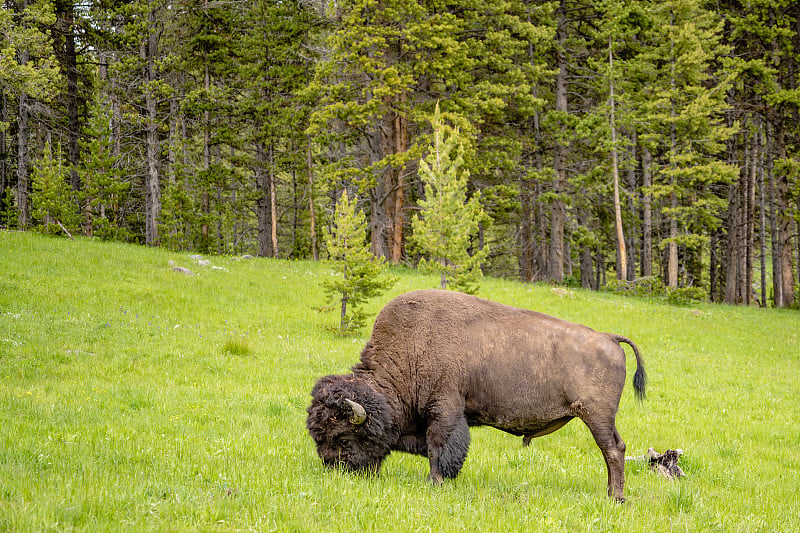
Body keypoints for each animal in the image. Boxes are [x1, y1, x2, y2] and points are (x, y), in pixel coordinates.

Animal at [304, 288, 648, 500]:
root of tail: (609, 338)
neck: (410, 352)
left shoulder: (443, 410)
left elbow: (439, 448)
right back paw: (612, 494)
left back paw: (616, 497)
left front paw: (435, 482)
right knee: (615, 449)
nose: (334, 470)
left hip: (597, 415)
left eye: (342, 438)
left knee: (613, 449)